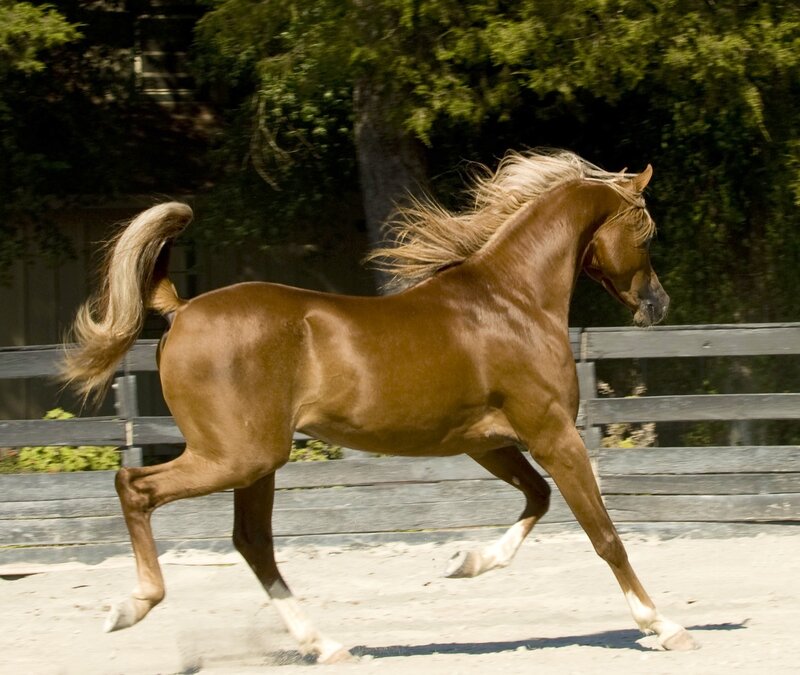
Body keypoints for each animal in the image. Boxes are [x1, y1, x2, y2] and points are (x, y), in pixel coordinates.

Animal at [62, 149, 696, 662]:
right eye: (647, 233)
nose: (659, 304)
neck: (512, 300)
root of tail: (183, 309)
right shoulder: (551, 433)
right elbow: (604, 534)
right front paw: (664, 626)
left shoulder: (487, 442)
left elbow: (537, 499)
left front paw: (464, 562)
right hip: (235, 455)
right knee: (135, 486)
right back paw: (132, 606)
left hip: (257, 462)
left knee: (253, 543)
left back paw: (326, 645)